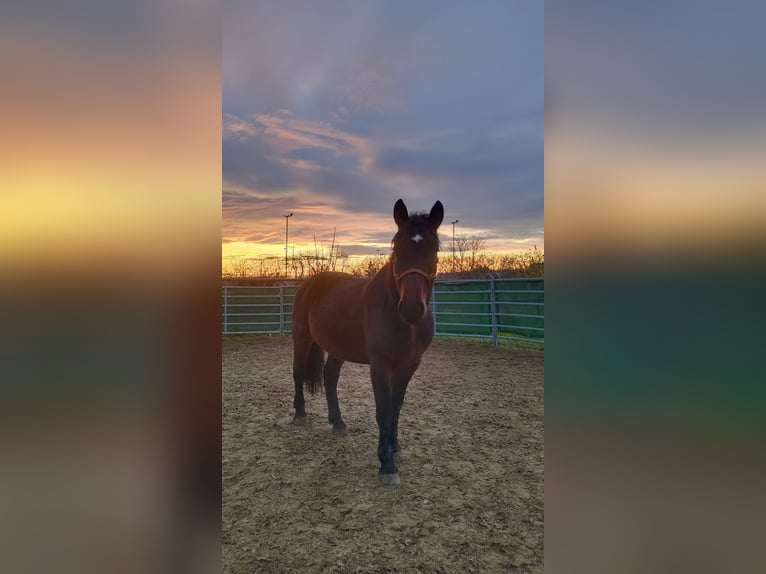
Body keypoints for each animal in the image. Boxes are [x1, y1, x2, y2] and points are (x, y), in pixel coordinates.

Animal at [292, 198, 444, 486]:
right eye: (396, 248)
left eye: (435, 248)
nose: (411, 308)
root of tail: (311, 282)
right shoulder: (380, 367)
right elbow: (383, 411)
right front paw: (387, 465)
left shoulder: (409, 366)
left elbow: (396, 408)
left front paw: (395, 449)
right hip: (302, 338)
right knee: (297, 373)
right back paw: (299, 414)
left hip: (337, 348)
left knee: (330, 378)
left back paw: (338, 423)